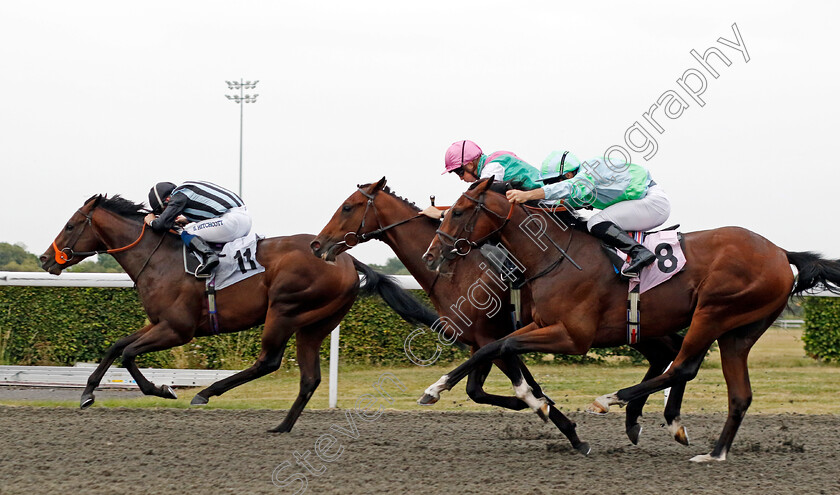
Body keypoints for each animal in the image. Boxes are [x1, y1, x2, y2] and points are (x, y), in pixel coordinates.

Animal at [39, 194, 436, 434]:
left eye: (71, 225)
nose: (45, 259)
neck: (159, 259)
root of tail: (346, 258)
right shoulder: (157, 323)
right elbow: (116, 346)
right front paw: (87, 394)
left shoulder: (178, 329)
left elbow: (129, 354)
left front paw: (163, 389)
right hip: (316, 324)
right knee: (309, 378)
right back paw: (281, 426)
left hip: (284, 310)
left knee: (268, 361)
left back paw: (207, 393)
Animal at [312, 179, 684, 454]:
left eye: (347, 207)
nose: (317, 245)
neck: (457, 271)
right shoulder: (490, 339)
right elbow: (484, 388)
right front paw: (549, 412)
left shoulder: (493, 335)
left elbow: (496, 380)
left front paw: (562, 424)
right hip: (637, 327)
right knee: (669, 353)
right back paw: (637, 420)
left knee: (673, 354)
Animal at [424, 178, 840, 462]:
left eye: (458, 211)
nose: (432, 255)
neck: (553, 256)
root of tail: (780, 252)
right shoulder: (541, 324)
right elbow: (494, 346)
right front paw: (436, 388)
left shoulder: (573, 336)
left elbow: (505, 345)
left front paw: (536, 401)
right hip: (738, 332)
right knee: (738, 393)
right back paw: (713, 452)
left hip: (714, 312)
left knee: (683, 366)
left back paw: (612, 400)